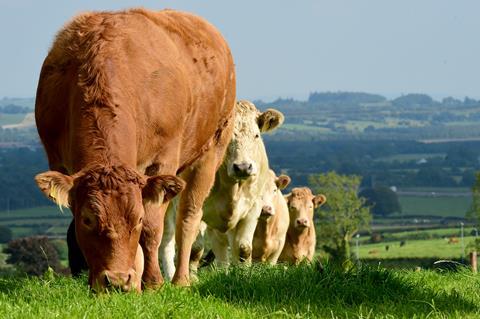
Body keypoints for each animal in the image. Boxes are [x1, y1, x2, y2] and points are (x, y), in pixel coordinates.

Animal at [34, 8, 236, 292]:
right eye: (88, 220)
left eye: (137, 220)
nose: (118, 280)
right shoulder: (59, 162)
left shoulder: (162, 162)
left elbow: (153, 228)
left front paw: (152, 282)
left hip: (211, 150)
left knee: (188, 216)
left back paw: (181, 279)